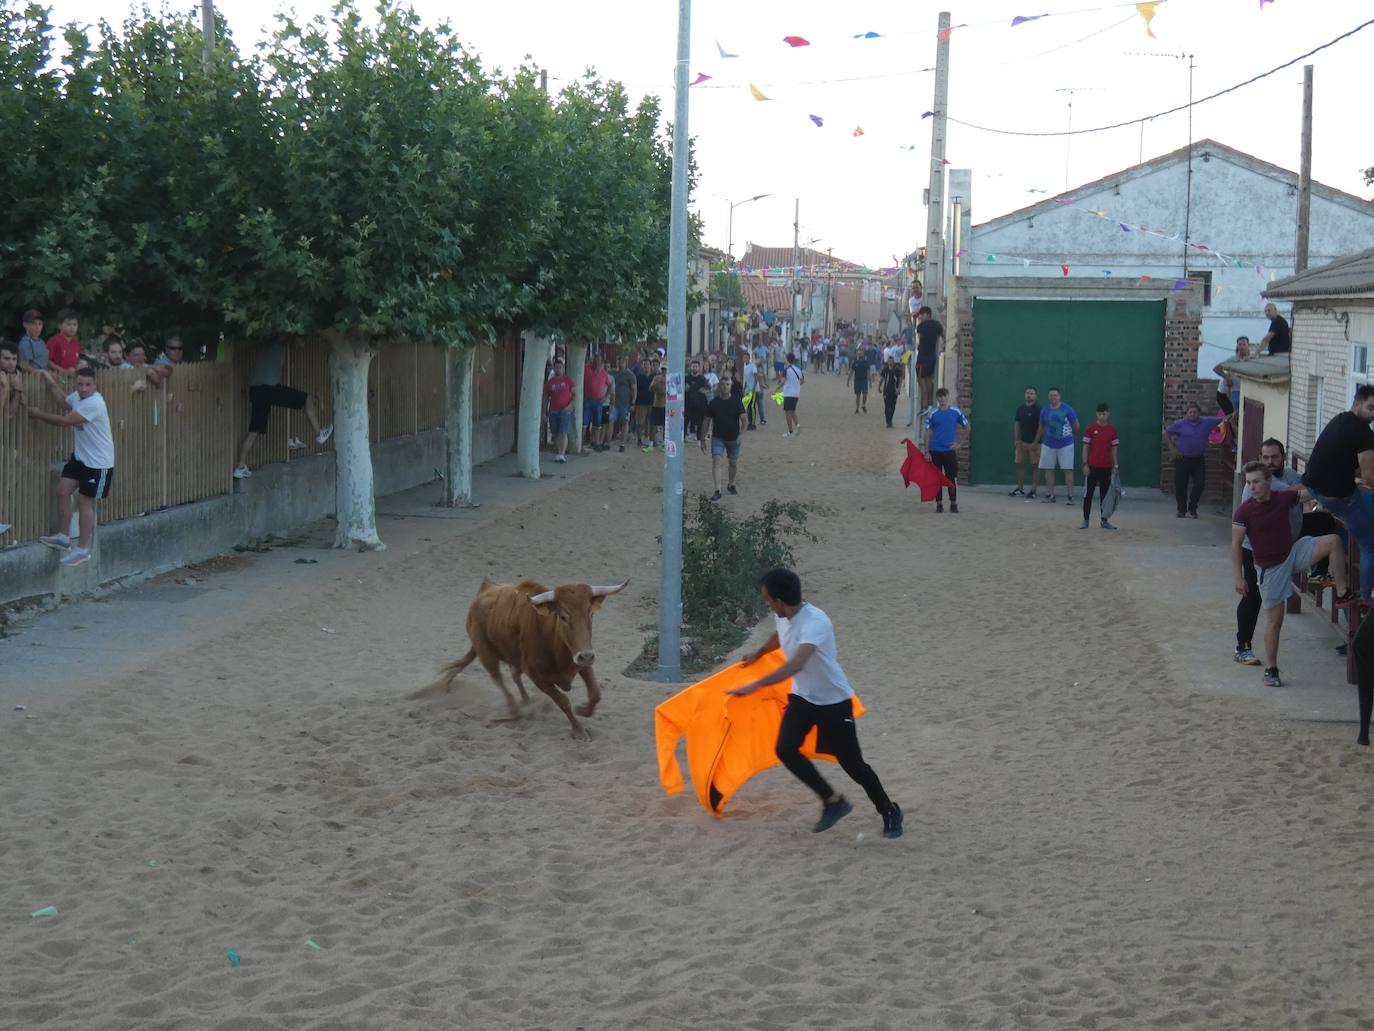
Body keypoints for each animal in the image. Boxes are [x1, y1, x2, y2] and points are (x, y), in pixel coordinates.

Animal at [439, 577, 629, 736]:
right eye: (563, 616)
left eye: (590, 614)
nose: (587, 656)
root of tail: (483, 591)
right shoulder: (537, 676)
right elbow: (563, 701)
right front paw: (579, 730)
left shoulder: (580, 660)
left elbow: (595, 693)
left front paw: (583, 710)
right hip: (486, 653)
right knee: (498, 679)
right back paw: (514, 711)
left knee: (514, 675)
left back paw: (526, 701)